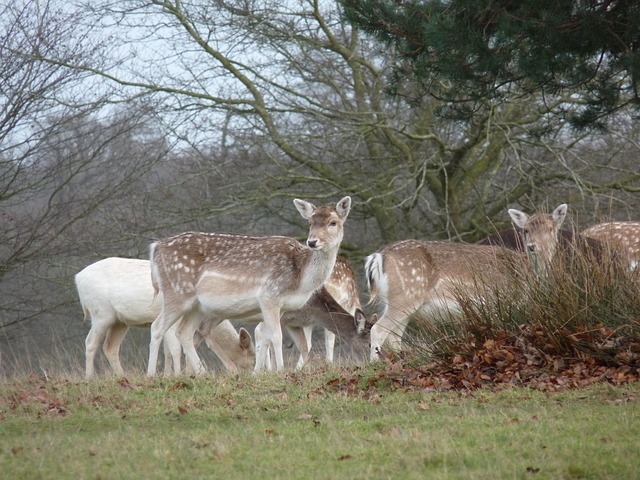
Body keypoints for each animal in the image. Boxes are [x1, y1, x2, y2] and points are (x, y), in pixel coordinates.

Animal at [75, 256, 255, 376]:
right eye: (252, 357)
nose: (248, 373)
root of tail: (77, 278)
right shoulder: (175, 321)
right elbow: (175, 349)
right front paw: (178, 375)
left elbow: (169, 350)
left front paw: (172, 374)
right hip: (100, 313)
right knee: (90, 341)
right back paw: (90, 378)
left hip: (120, 321)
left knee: (110, 347)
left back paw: (121, 376)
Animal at [148, 195, 352, 376]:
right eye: (310, 222)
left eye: (333, 222)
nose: (312, 241)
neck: (300, 278)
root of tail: (155, 248)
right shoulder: (269, 295)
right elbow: (276, 336)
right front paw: (280, 371)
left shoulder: (281, 307)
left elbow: (266, 337)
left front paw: (260, 372)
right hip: (176, 293)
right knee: (157, 327)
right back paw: (151, 375)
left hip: (197, 305)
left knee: (184, 332)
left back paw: (202, 374)